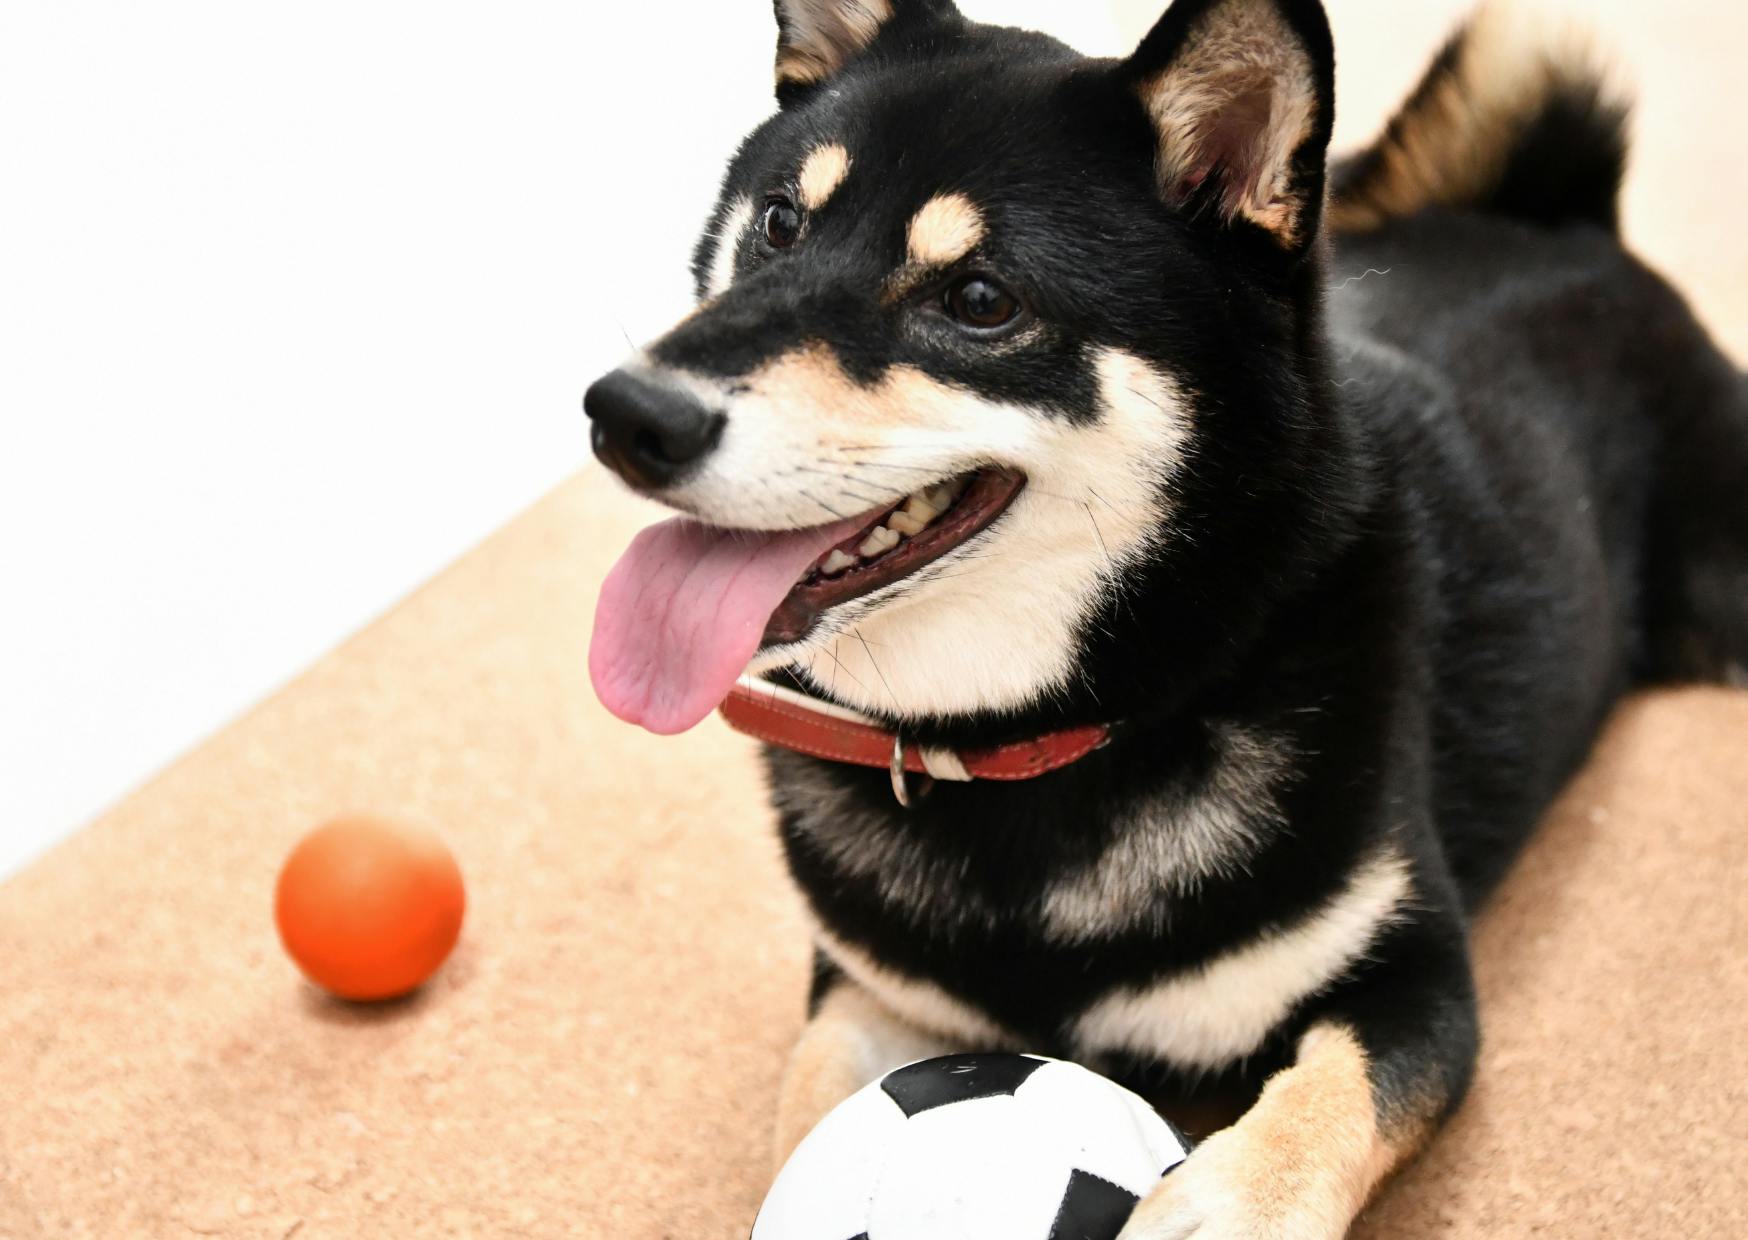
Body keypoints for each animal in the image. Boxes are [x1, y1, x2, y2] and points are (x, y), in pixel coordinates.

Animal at [576, 0, 1748, 1231]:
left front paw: (1226, 1200)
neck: (1033, 746)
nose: (628, 414)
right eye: (778, 224)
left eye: (979, 300)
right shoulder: (863, 981)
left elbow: (1326, 1098)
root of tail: (1567, 227)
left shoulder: (1410, 971)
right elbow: (816, 1100)